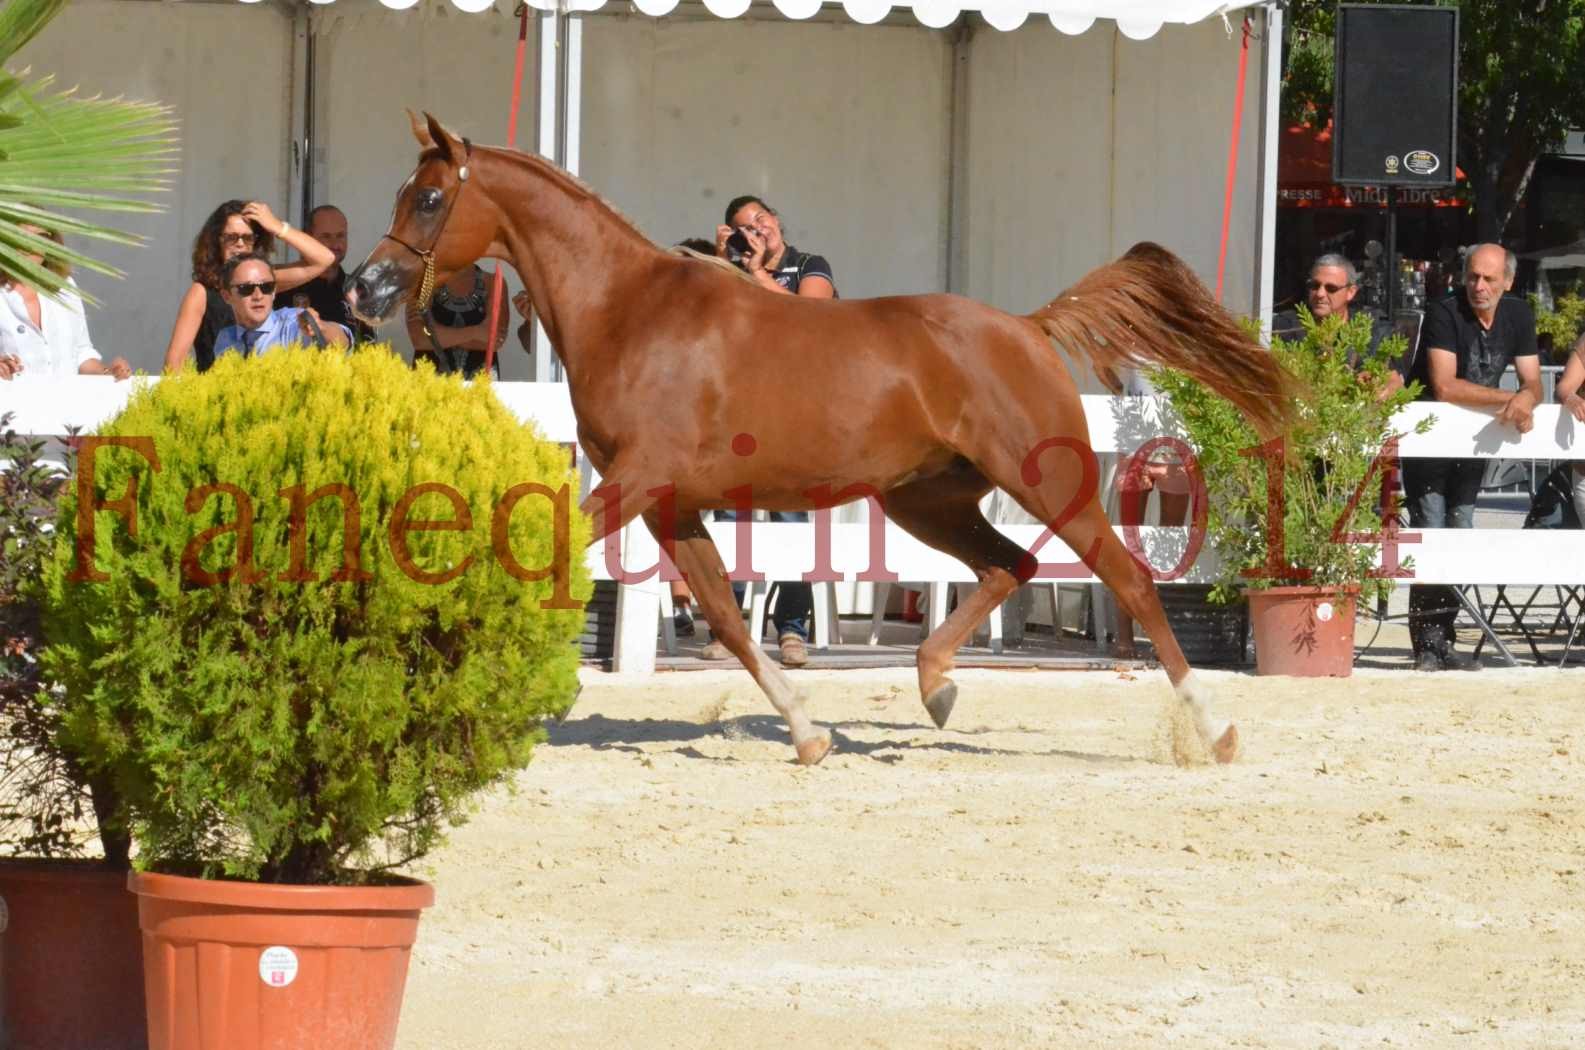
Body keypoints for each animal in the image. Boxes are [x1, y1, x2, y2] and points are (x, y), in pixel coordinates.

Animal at [347, 114, 1287, 770]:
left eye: (428, 198)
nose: (365, 290)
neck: (628, 311)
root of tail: (1025, 327)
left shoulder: (638, 482)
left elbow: (543, 559)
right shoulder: (669, 503)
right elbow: (728, 619)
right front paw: (807, 735)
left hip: (1048, 486)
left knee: (1127, 580)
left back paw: (1217, 733)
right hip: (926, 500)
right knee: (1007, 566)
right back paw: (936, 689)